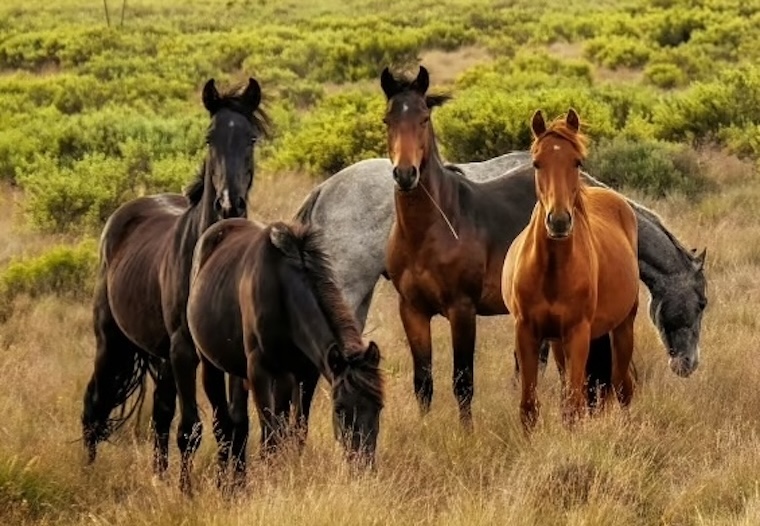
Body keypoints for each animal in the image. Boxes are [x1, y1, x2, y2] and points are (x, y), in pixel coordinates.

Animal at [80, 77, 268, 495]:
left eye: (251, 138)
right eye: (210, 136)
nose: (230, 204)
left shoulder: (228, 354)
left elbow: (235, 424)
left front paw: (234, 486)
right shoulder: (185, 350)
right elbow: (193, 428)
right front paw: (188, 492)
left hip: (162, 357)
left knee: (160, 415)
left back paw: (158, 476)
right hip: (112, 343)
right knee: (94, 405)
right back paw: (87, 473)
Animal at [187, 219, 384, 479]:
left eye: (379, 406)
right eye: (339, 409)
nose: (363, 465)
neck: (282, 291)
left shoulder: (305, 374)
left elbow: (296, 431)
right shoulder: (259, 370)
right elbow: (270, 435)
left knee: (240, 423)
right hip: (212, 366)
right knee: (223, 425)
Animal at [502, 109, 639, 428]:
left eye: (577, 161)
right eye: (537, 162)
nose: (559, 221)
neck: (552, 271)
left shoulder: (578, 334)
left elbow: (573, 406)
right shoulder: (527, 332)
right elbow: (529, 407)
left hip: (623, 327)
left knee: (622, 386)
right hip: (558, 343)